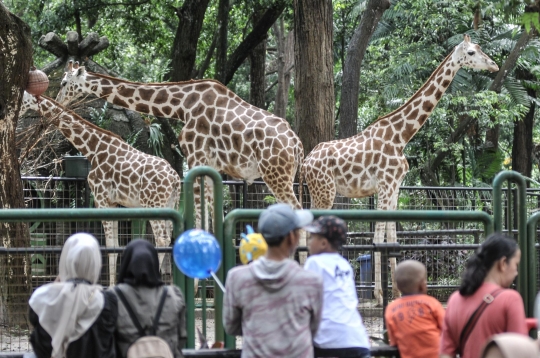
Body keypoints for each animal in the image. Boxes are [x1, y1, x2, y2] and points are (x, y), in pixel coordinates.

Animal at [20, 91, 181, 284]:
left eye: (23, 98)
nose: (18, 112)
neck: (93, 149)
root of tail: (175, 178)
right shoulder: (113, 203)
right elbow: (116, 246)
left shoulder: (101, 199)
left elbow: (109, 246)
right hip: (169, 204)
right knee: (172, 238)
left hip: (152, 204)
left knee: (162, 240)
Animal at [57, 62, 306, 232]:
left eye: (63, 83)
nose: (59, 100)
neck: (182, 105)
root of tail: (297, 145)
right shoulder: (211, 164)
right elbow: (214, 218)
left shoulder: (195, 155)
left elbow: (200, 219)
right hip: (286, 175)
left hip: (275, 174)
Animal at [300, 35, 498, 304]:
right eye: (471, 52)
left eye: (479, 48)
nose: (494, 65)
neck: (402, 136)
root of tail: (305, 163)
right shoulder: (384, 185)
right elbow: (378, 236)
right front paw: (379, 295)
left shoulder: (395, 187)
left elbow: (392, 237)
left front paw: (396, 291)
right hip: (325, 192)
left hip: (315, 191)